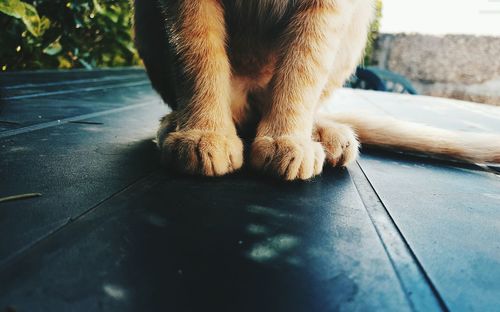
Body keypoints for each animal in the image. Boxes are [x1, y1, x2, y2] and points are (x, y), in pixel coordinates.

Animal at [133, 0, 500, 180]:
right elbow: (197, 51)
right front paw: (204, 132)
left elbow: (304, 64)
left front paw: (286, 138)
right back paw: (175, 123)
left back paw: (325, 134)